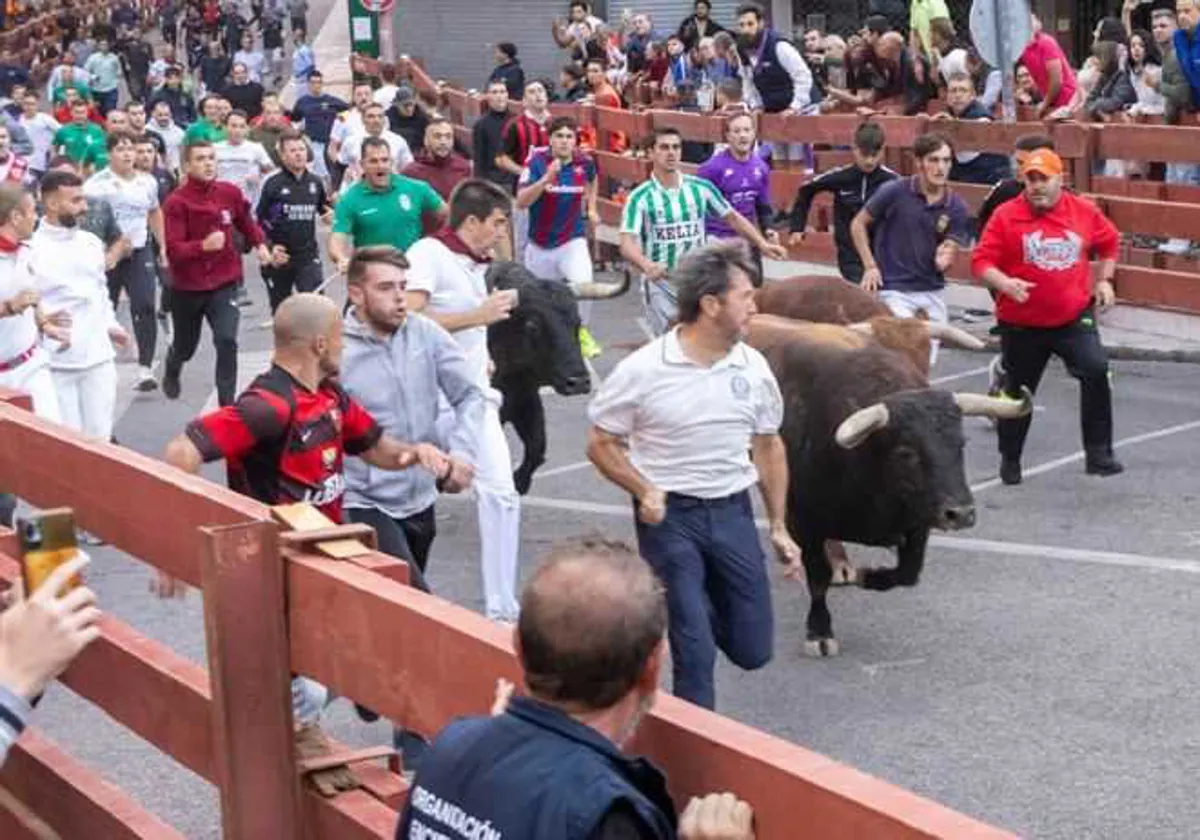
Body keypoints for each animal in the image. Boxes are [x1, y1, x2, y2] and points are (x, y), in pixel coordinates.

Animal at [484, 264, 628, 492]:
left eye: (577, 323)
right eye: (532, 325)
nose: (578, 382)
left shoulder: (527, 400)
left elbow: (537, 448)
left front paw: (520, 482)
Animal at [744, 314, 1027, 657]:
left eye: (961, 444)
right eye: (906, 453)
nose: (960, 514)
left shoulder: (918, 521)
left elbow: (907, 574)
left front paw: (867, 576)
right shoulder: (805, 520)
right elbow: (818, 578)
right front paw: (820, 632)